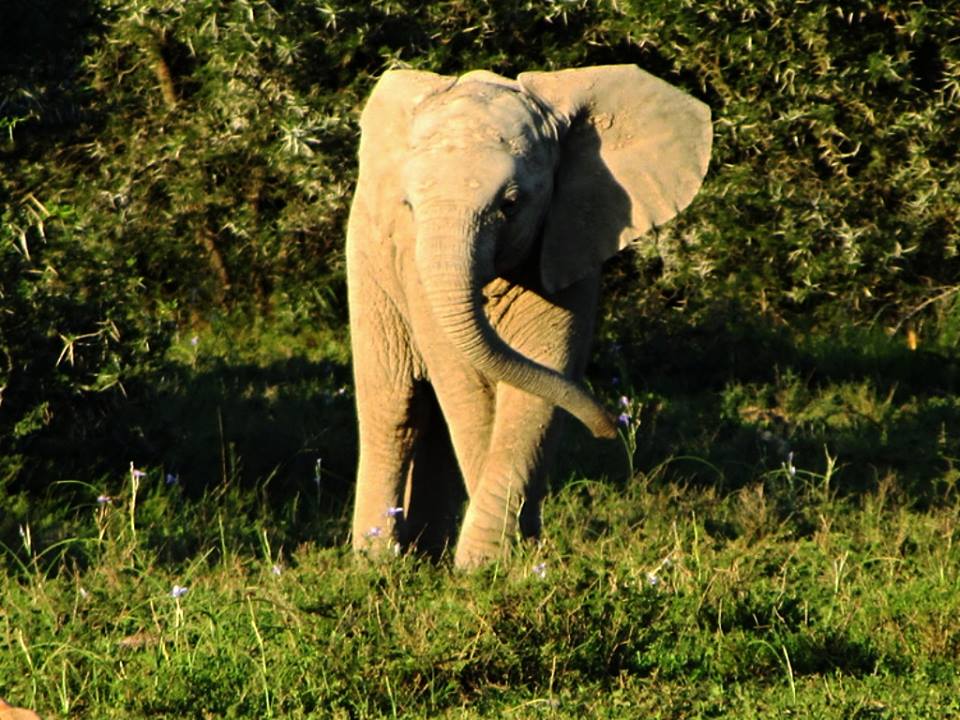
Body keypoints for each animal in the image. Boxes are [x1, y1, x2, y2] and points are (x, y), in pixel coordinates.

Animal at [346, 64, 711, 568]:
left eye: (511, 203)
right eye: (409, 207)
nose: (609, 428)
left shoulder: (569, 238)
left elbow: (541, 377)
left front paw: (508, 560)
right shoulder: (415, 270)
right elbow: (468, 389)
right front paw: (496, 564)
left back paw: (426, 557)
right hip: (367, 258)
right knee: (393, 408)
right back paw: (377, 562)